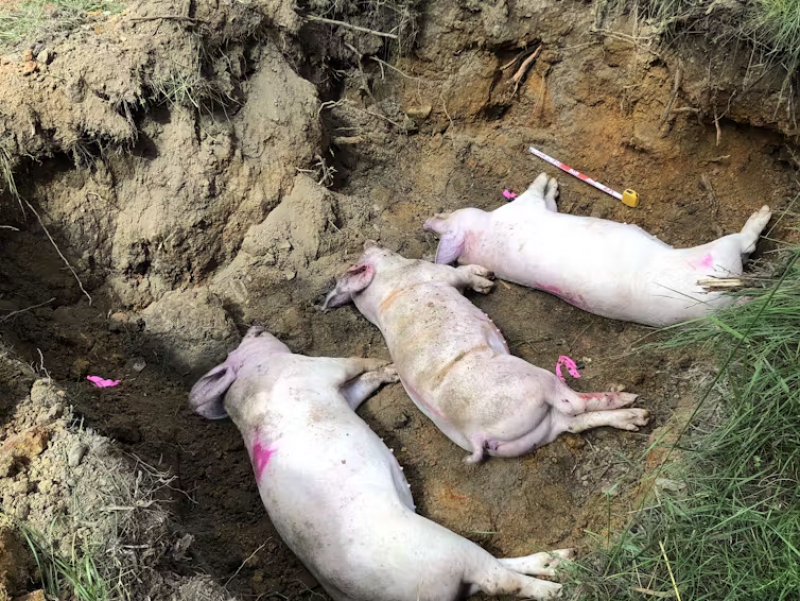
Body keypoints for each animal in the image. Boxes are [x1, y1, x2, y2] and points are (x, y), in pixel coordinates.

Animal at [189, 326, 574, 601]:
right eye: (253, 339)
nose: (255, 326)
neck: (251, 381)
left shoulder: (338, 393)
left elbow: (360, 387)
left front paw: (390, 373)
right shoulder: (312, 368)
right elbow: (353, 364)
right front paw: (382, 362)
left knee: (499, 567)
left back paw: (562, 559)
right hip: (445, 550)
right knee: (501, 580)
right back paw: (560, 584)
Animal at [322, 242, 650, 464]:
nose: (370, 242)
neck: (384, 291)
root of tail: (477, 435)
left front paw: (485, 283)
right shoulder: (435, 273)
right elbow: (461, 272)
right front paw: (486, 279)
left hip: (542, 430)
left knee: (576, 423)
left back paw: (637, 418)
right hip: (537, 381)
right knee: (575, 405)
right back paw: (630, 399)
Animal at [422, 172, 773, 327]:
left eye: (444, 216)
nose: (429, 219)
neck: (481, 238)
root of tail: (720, 303)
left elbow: (549, 201)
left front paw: (554, 183)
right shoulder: (523, 209)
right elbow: (534, 192)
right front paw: (547, 176)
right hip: (720, 255)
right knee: (744, 243)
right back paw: (764, 213)